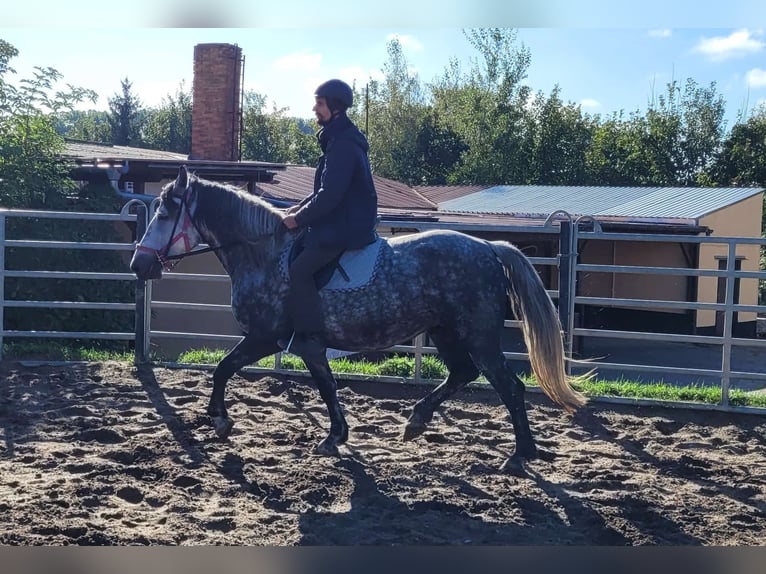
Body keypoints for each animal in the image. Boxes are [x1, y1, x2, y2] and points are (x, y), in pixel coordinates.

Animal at [130, 165, 588, 472]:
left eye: (165, 215)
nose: (138, 265)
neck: (264, 253)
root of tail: (490, 248)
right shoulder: (309, 345)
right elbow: (326, 386)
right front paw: (336, 435)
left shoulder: (266, 338)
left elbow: (223, 369)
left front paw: (222, 420)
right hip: (445, 332)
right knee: (462, 374)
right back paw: (416, 422)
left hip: (478, 336)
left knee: (509, 387)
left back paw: (520, 454)